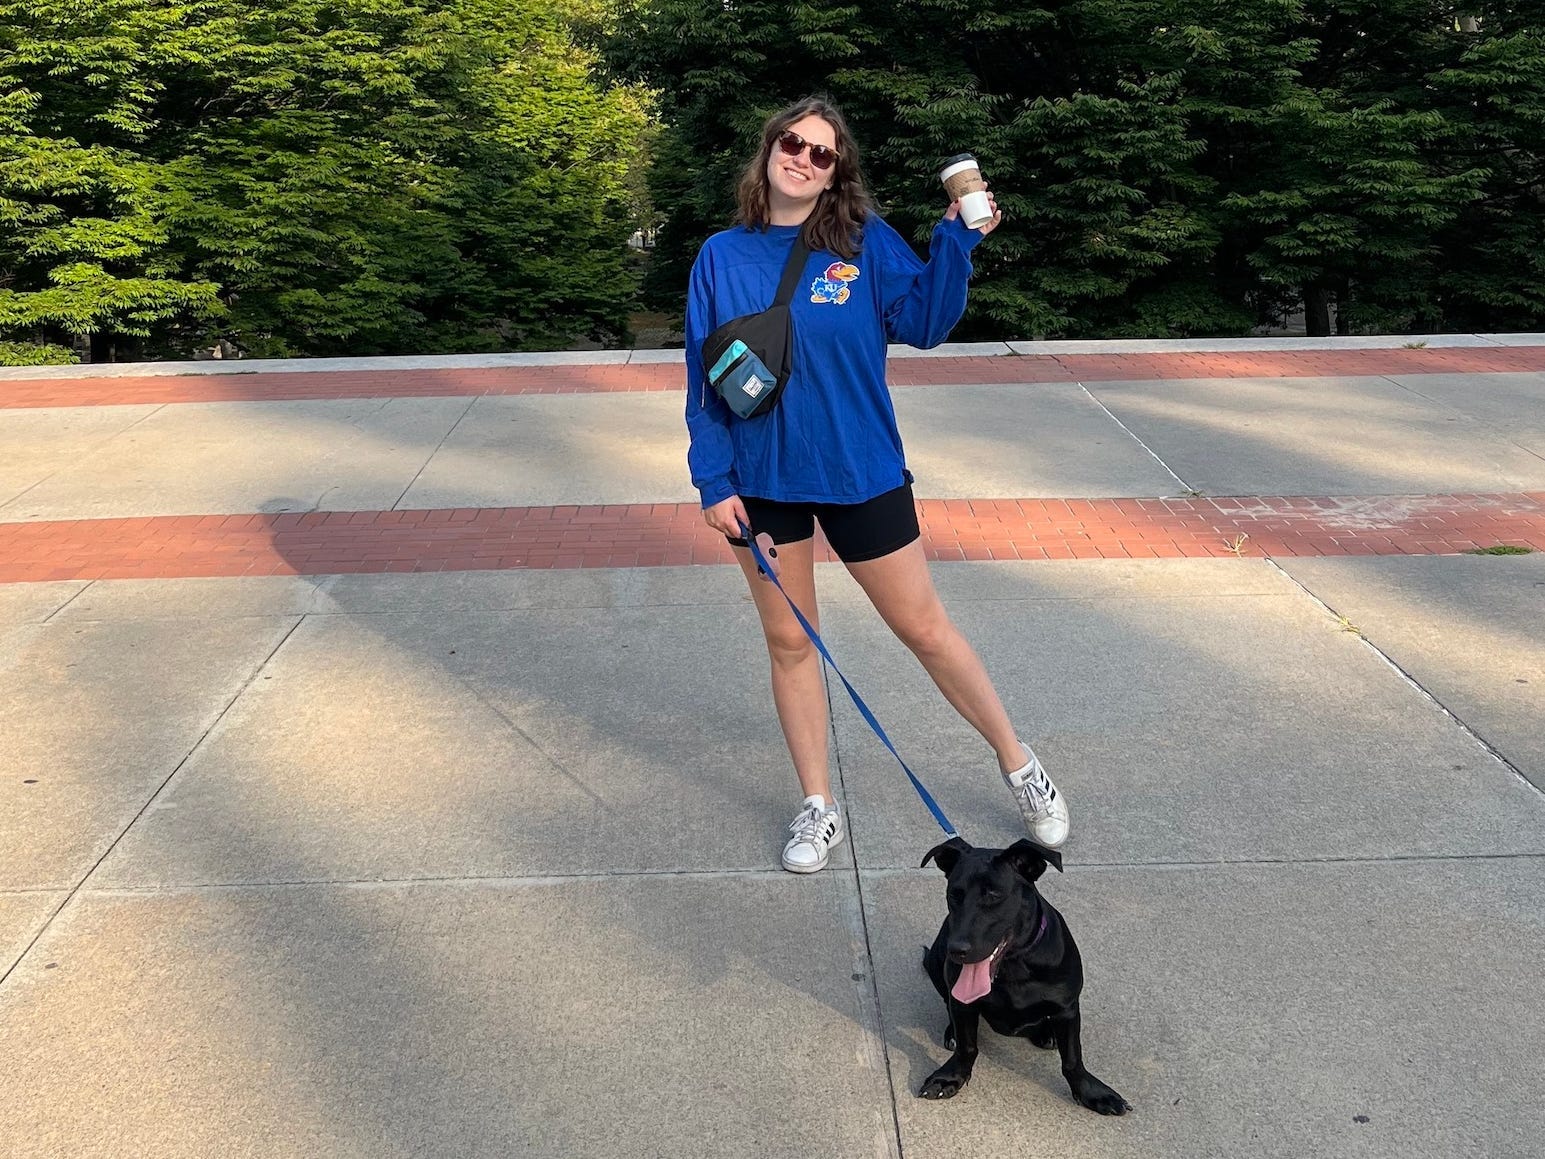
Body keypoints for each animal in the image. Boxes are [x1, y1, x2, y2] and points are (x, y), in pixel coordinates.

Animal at [914, 834, 1124, 1118]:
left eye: (993, 895)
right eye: (954, 895)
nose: (956, 950)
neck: (1013, 966)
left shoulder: (1067, 1007)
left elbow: (1072, 1058)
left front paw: (1091, 1092)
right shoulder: (962, 1001)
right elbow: (967, 1045)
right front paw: (951, 1076)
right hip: (937, 963)